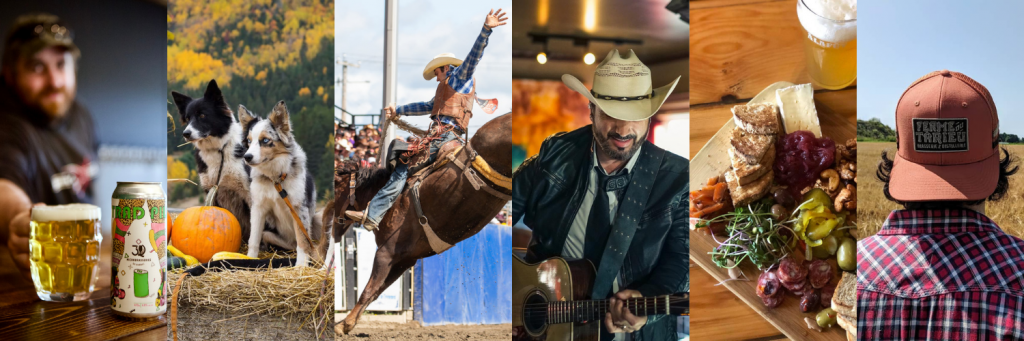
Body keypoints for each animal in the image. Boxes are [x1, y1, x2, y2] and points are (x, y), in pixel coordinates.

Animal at [327, 112, 512, 333]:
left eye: (336, 189)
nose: (332, 230)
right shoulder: (405, 259)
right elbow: (376, 292)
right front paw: (346, 324)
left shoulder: (386, 252)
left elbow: (368, 290)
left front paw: (342, 325)